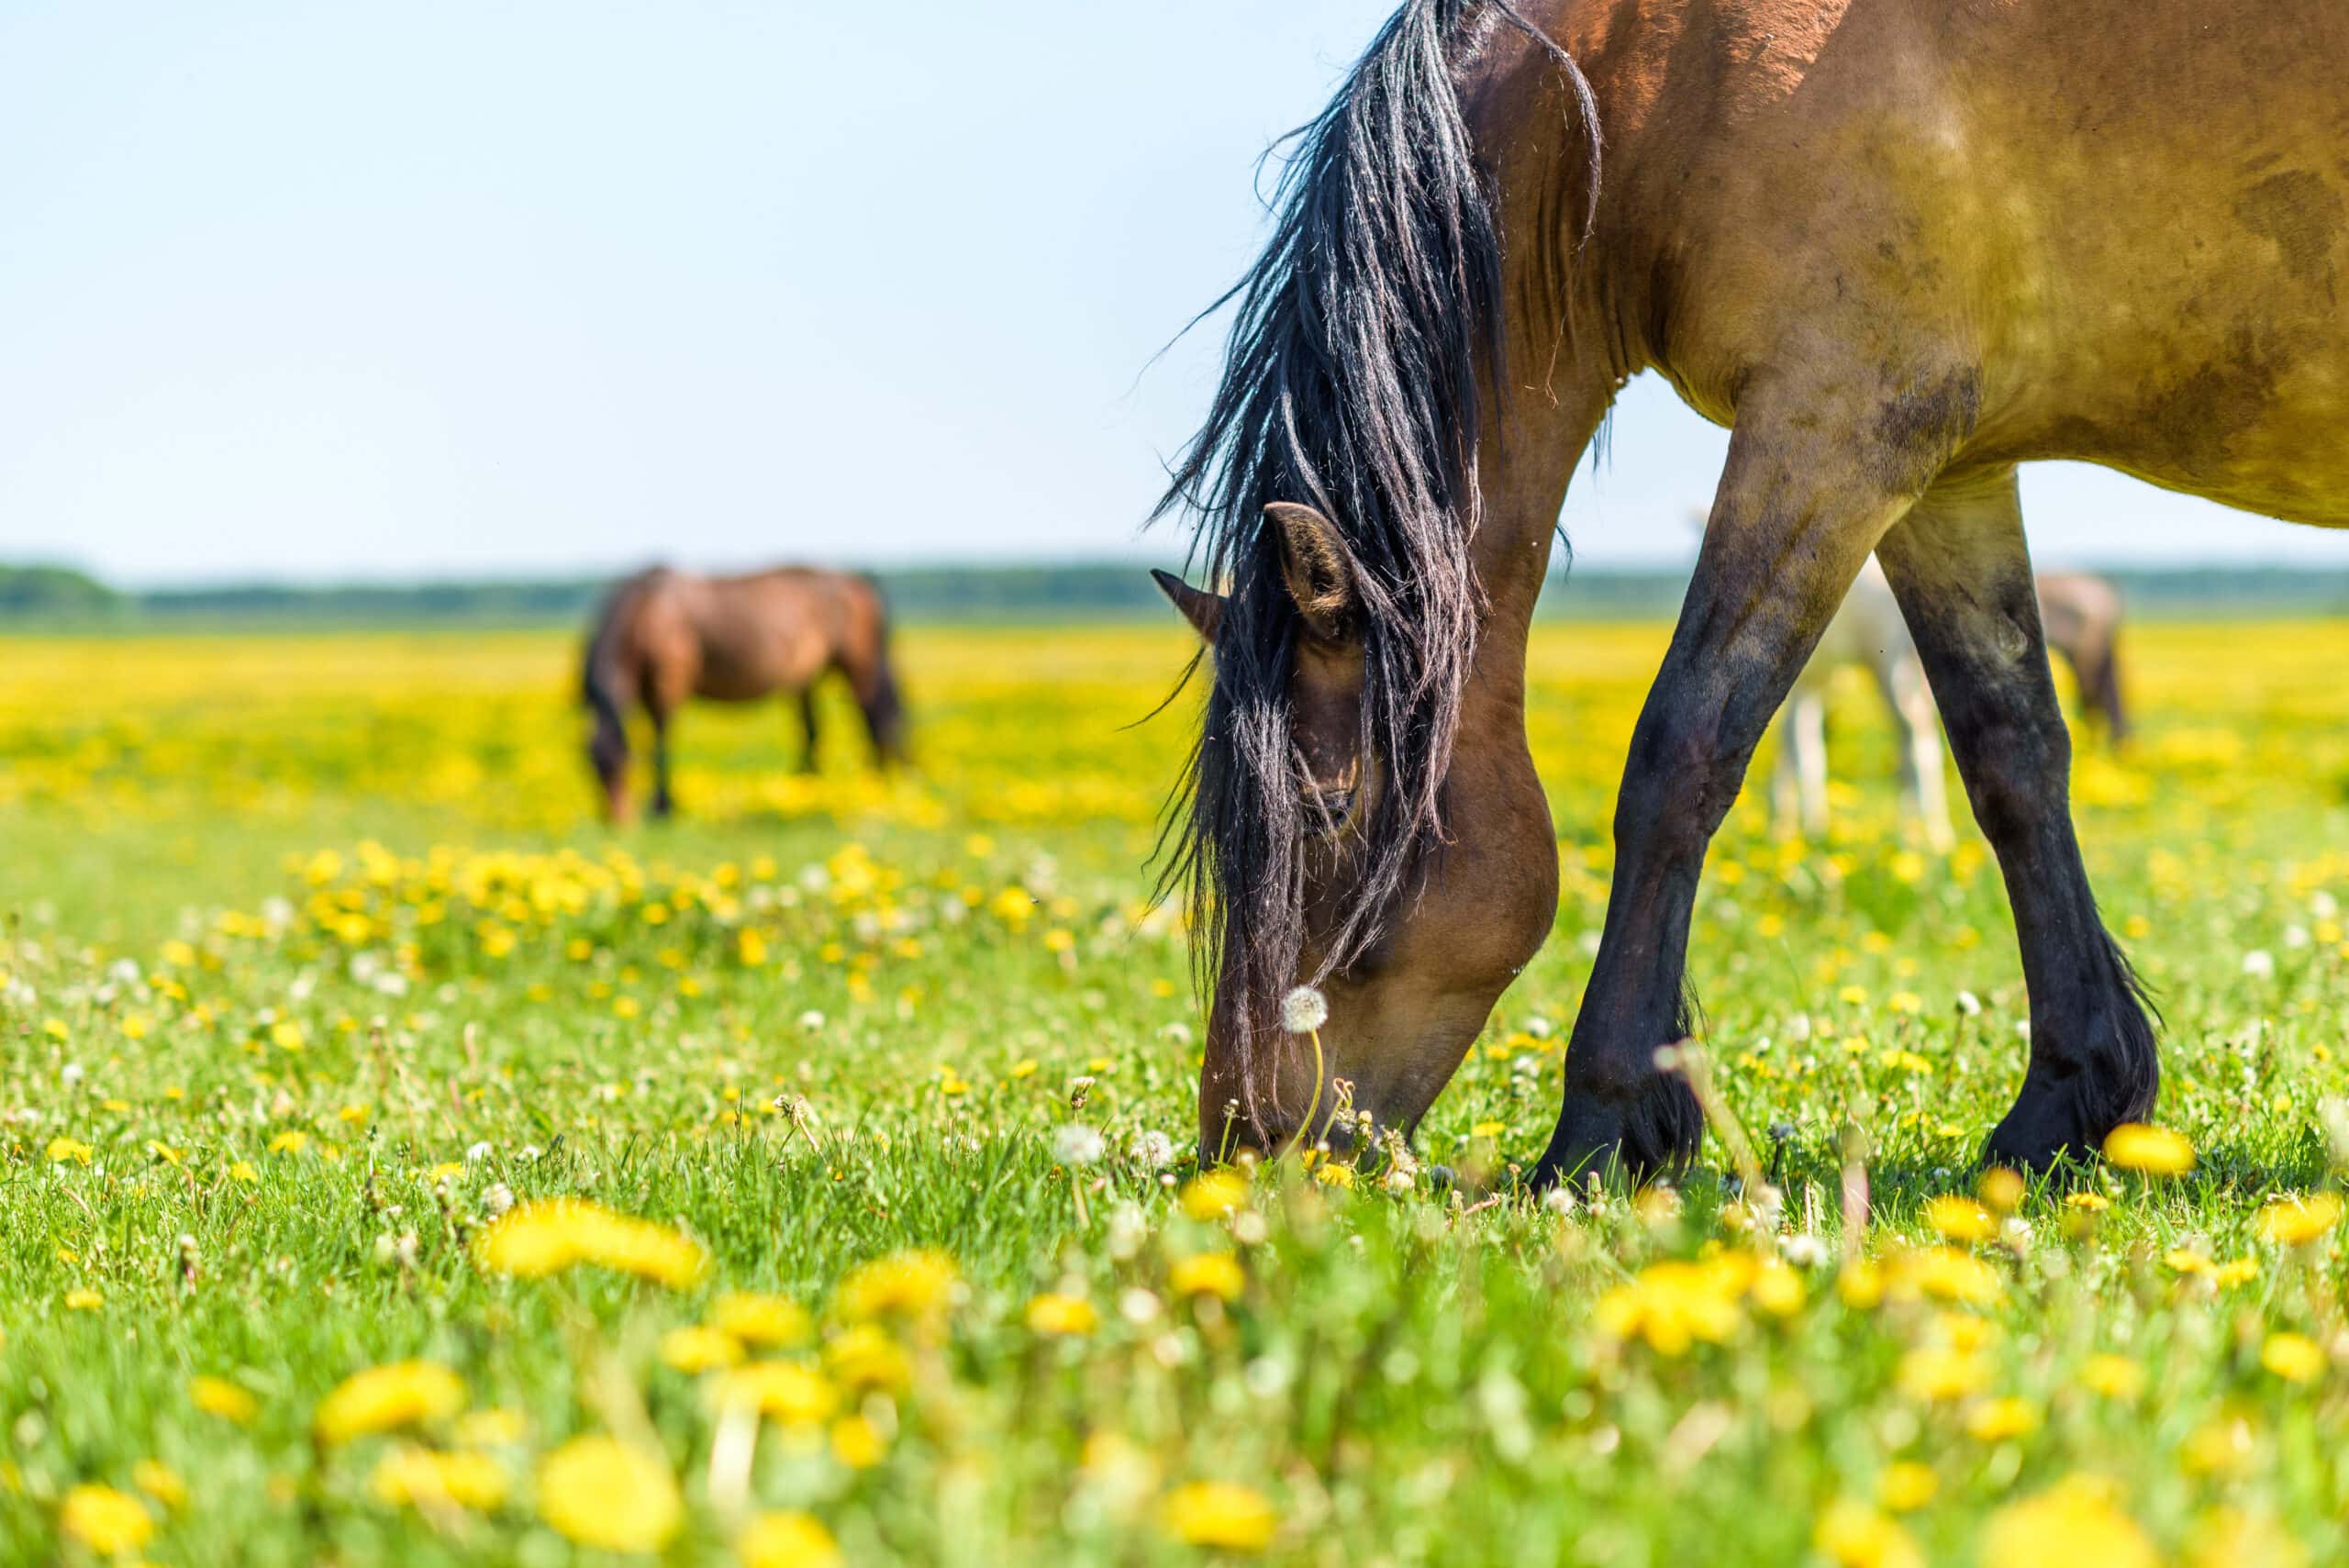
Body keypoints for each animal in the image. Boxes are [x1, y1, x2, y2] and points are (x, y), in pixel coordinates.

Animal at [584, 565, 907, 821]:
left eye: (624, 766)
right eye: (593, 768)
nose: (616, 821)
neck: (647, 612)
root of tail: (856, 582)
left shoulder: (669, 681)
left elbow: (662, 740)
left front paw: (664, 807)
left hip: (858, 665)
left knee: (872, 718)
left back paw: (874, 783)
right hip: (808, 677)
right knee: (813, 728)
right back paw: (803, 790)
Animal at [1766, 570, 2142, 850]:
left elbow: (1800, 748)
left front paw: (1793, 826)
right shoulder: (1813, 681)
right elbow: (1801, 748)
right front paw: (1797, 825)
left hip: (1892, 670)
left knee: (1917, 745)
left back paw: (1925, 837)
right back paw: (1923, 833)